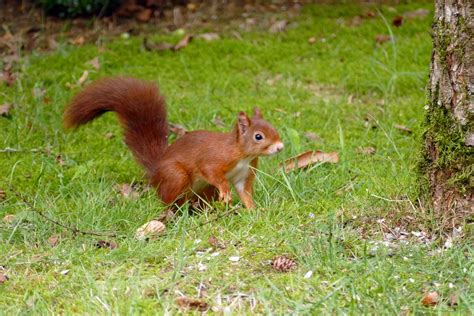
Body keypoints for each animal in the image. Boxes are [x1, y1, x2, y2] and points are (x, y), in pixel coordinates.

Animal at [64, 77, 284, 210]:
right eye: (258, 136)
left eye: (273, 127)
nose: (280, 147)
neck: (243, 155)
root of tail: (155, 172)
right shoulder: (215, 157)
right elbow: (210, 169)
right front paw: (225, 190)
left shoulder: (243, 174)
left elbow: (244, 193)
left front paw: (254, 210)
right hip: (176, 176)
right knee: (168, 199)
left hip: (204, 189)